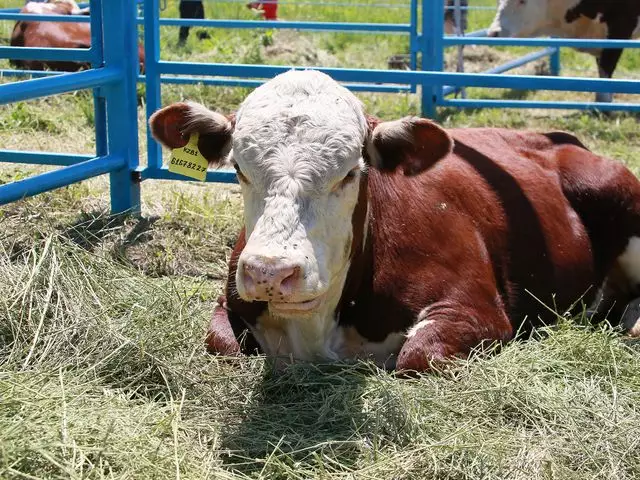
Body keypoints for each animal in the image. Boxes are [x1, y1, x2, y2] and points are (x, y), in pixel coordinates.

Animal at [149, 70, 640, 372]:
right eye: (238, 168)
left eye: (350, 172)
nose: (271, 272)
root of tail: (553, 137)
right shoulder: (230, 301)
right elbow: (222, 345)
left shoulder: (477, 308)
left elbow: (415, 356)